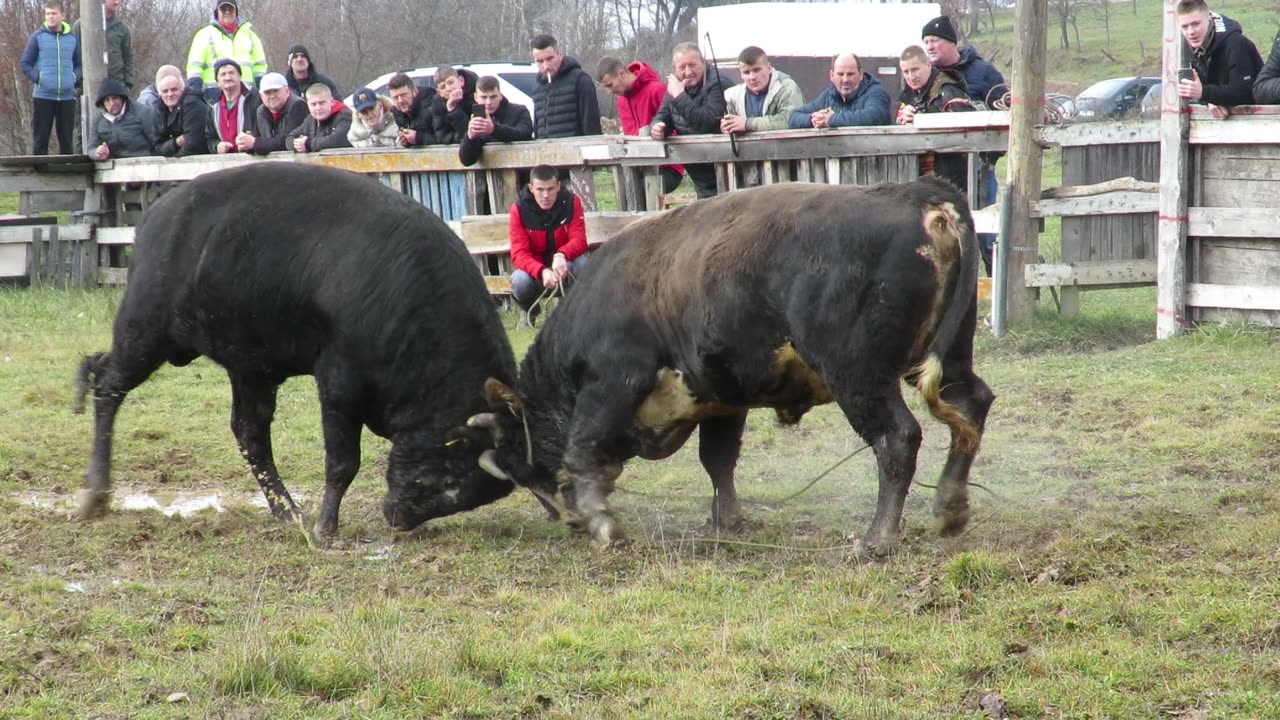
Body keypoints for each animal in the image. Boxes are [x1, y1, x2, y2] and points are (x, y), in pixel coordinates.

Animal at [74, 162, 522, 532]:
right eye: (450, 475)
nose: (399, 517)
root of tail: (155, 217)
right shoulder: (339, 383)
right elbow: (342, 461)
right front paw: (326, 527)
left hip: (248, 369)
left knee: (248, 431)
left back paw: (287, 511)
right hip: (144, 334)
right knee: (107, 384)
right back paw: (96, 493)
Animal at [476, 178, 993, 548]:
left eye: (518, 459)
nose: (565, 522)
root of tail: (918, 193)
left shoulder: (613, 383)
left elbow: (582, 451)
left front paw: (602, 523)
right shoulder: (721, 398)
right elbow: (718, 460)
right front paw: (727, 521)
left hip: (858, 376)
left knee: (896, 439)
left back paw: (878, 538)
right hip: (948, 357)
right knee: (971, 406)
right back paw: (950, 508)